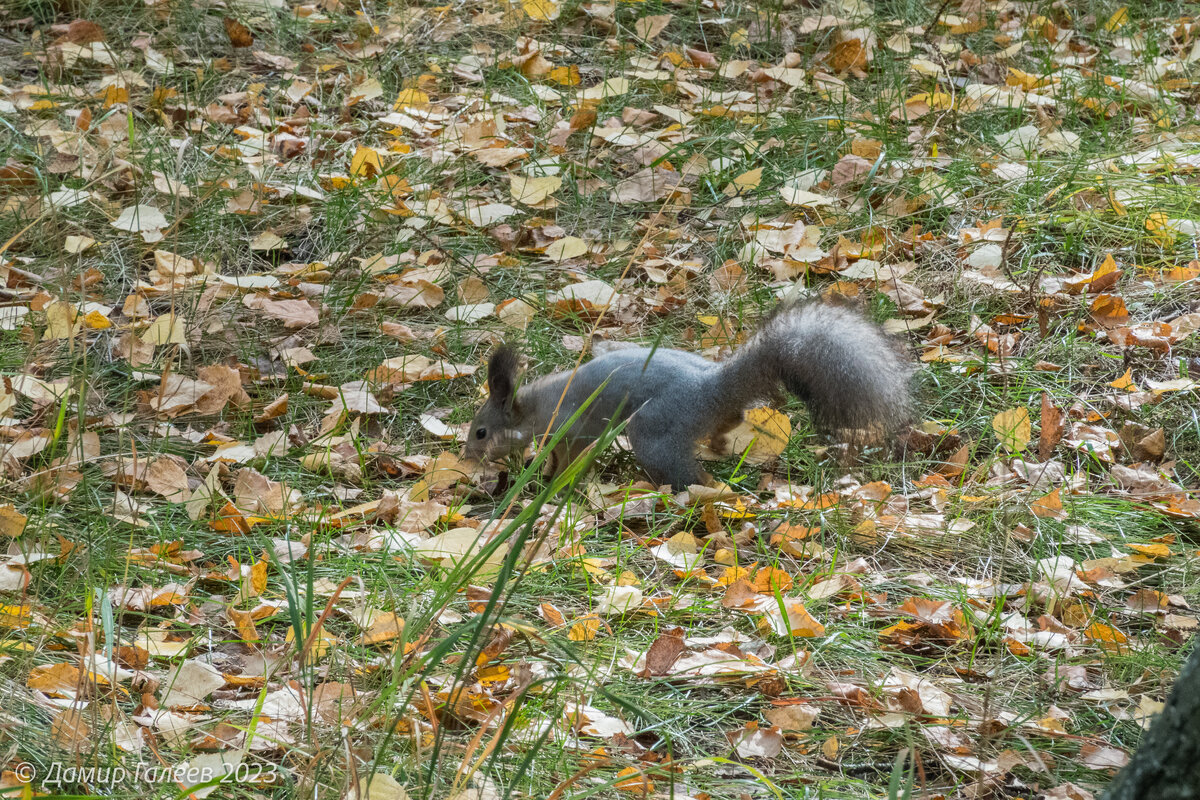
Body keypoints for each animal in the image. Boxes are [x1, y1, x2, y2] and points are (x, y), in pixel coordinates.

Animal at [463, 299, 912, 489]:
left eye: (481, 432)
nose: (468, 458)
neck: (534, 408)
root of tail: (710, 387)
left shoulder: (571, 428)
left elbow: (569, 457)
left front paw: (552, 481)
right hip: (709, 417)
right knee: (728, 422)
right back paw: (718, 447)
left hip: (655, 431)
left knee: (689, 475)